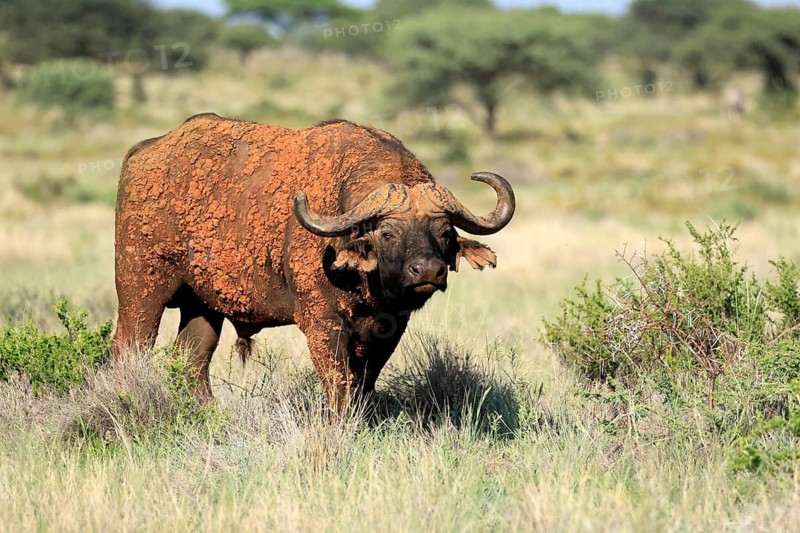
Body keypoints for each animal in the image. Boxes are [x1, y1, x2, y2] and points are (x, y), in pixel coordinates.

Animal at [113, 113, 515, 410]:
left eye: (445, 232)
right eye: (387, 233)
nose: (428, 270)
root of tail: (142, 153)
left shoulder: (389, 329)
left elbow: (363, 384)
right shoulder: (322, 323)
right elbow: (338, 384)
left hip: (203, 306)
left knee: (192, 357)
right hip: (140, 291)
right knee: (130, 346)